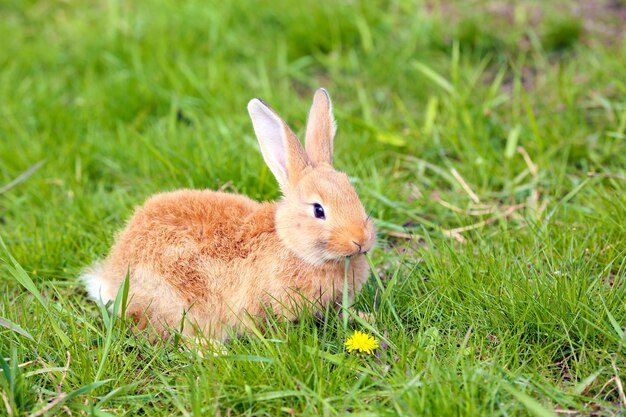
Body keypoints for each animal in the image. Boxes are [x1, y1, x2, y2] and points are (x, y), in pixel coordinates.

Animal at [83, 88, 376, 342]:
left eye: (353, 193)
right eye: (318, 210)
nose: (361, 241)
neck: (292, 246)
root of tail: (112, 276)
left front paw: (364, 317)